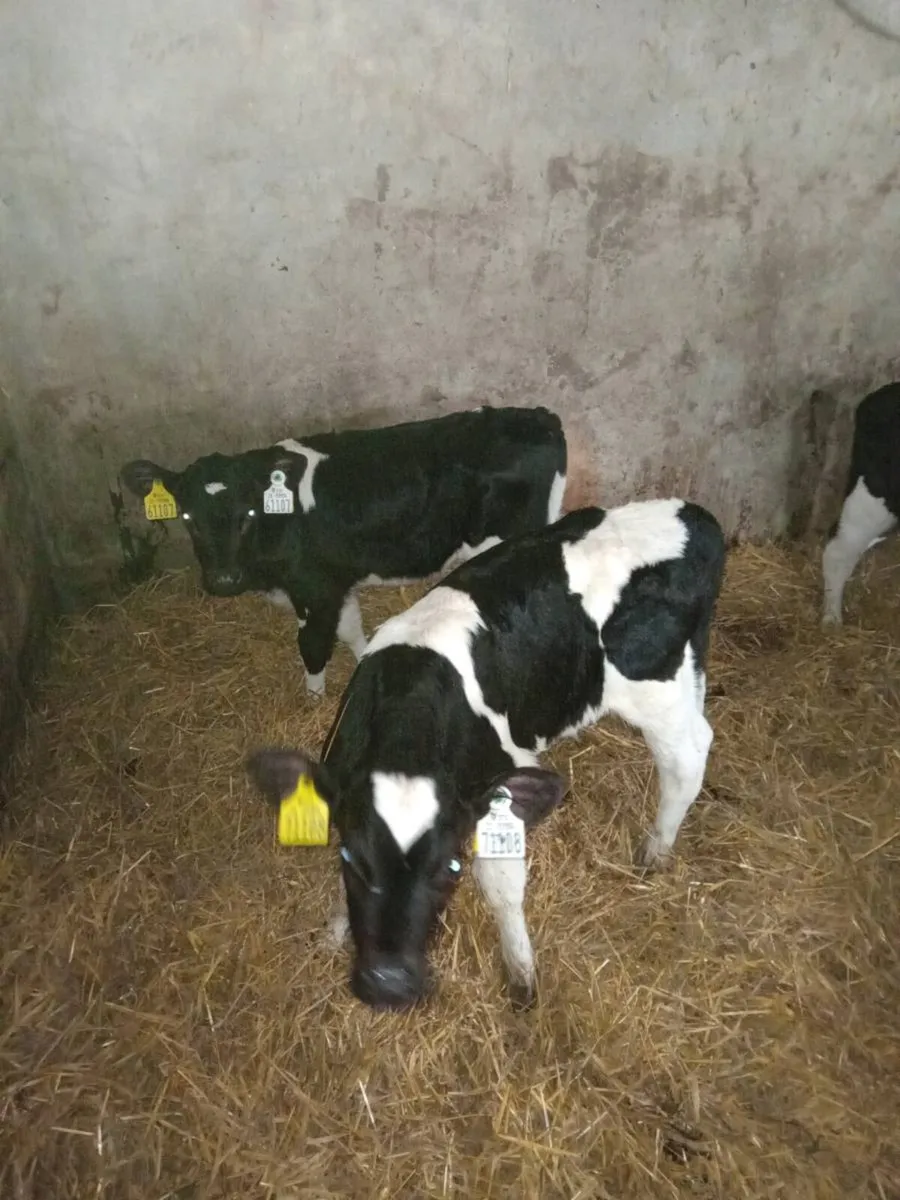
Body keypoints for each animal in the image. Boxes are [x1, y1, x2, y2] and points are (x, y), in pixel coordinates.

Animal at [120, 406, 567, 695]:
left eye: (247, 512)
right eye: (188, 517)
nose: (224, 580)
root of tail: (540, 418)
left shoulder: (314, 591)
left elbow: (313, 647)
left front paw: (313, 700)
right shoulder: (337, 582)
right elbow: (352, 630)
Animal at [246, 498, 727, 1012]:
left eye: (450, 867)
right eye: (352, 859)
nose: (388, 983)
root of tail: (693, 515)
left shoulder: (500, 787)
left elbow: (500, 883)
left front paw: (520, 972)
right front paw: (335, 928)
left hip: (655, 690)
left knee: (687, 757)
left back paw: (656, 849)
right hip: (688, 671)